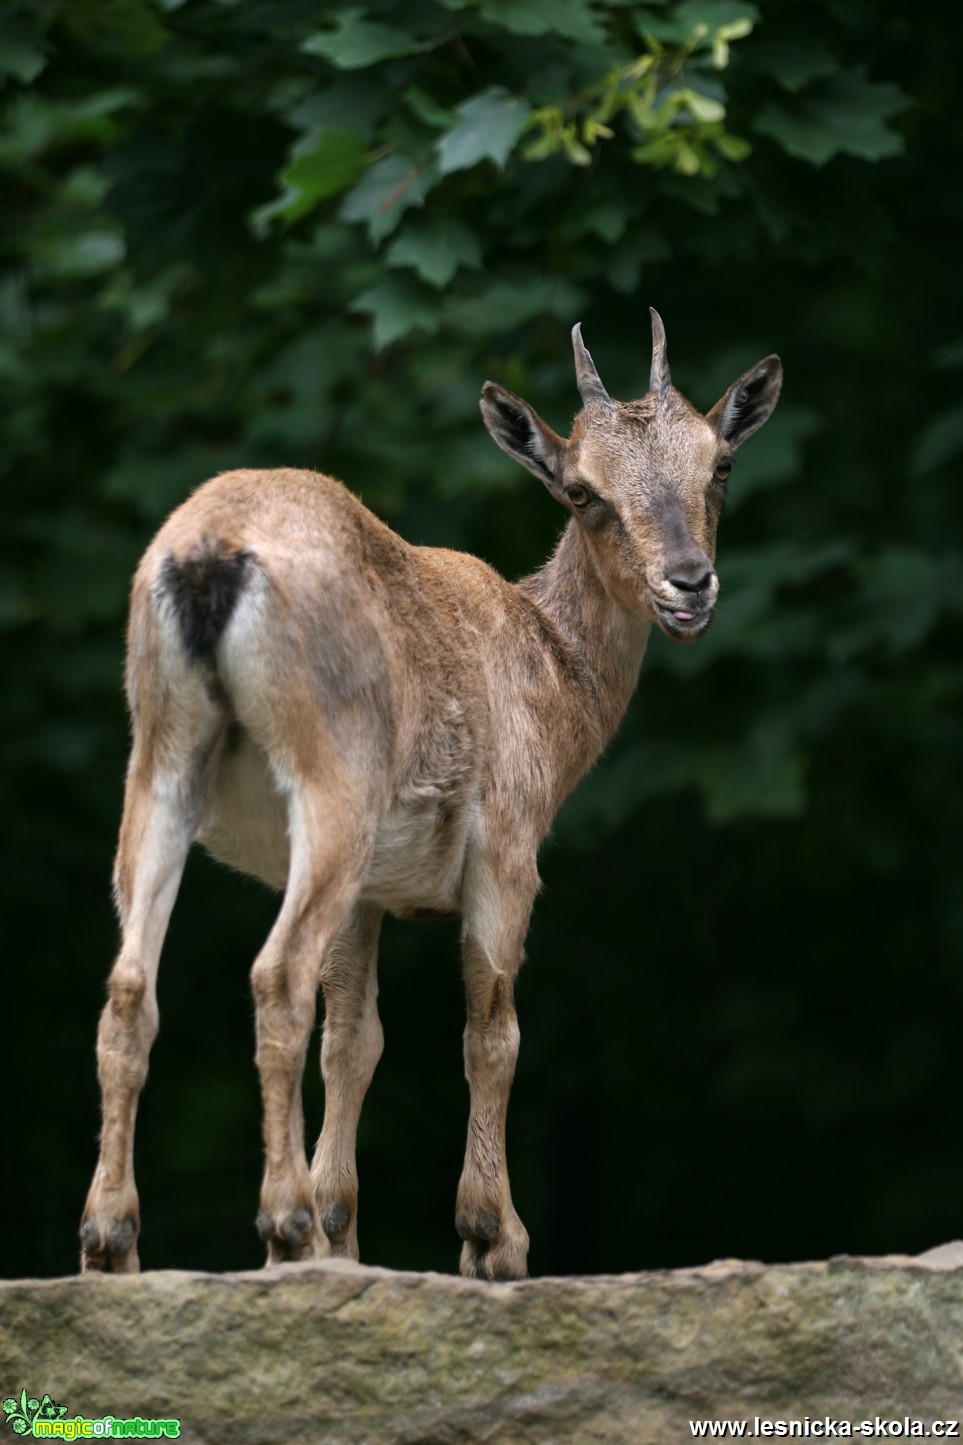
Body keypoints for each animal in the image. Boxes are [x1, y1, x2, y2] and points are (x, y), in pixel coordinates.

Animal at [78, 313, 775, 1277]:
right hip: (331, 784)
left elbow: (355, 1038)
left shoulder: (372, 893)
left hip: (159, 767)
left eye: (720, 464)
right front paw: (491, 1234)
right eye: (580, 491)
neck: (554, 672)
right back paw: (282, 1219)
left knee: (129, 985)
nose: (688, 583)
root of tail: (208, 559)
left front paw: (344, 1227)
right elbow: (492, 1029)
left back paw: (111, 1240)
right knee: (275, 975)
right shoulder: (508, 849)